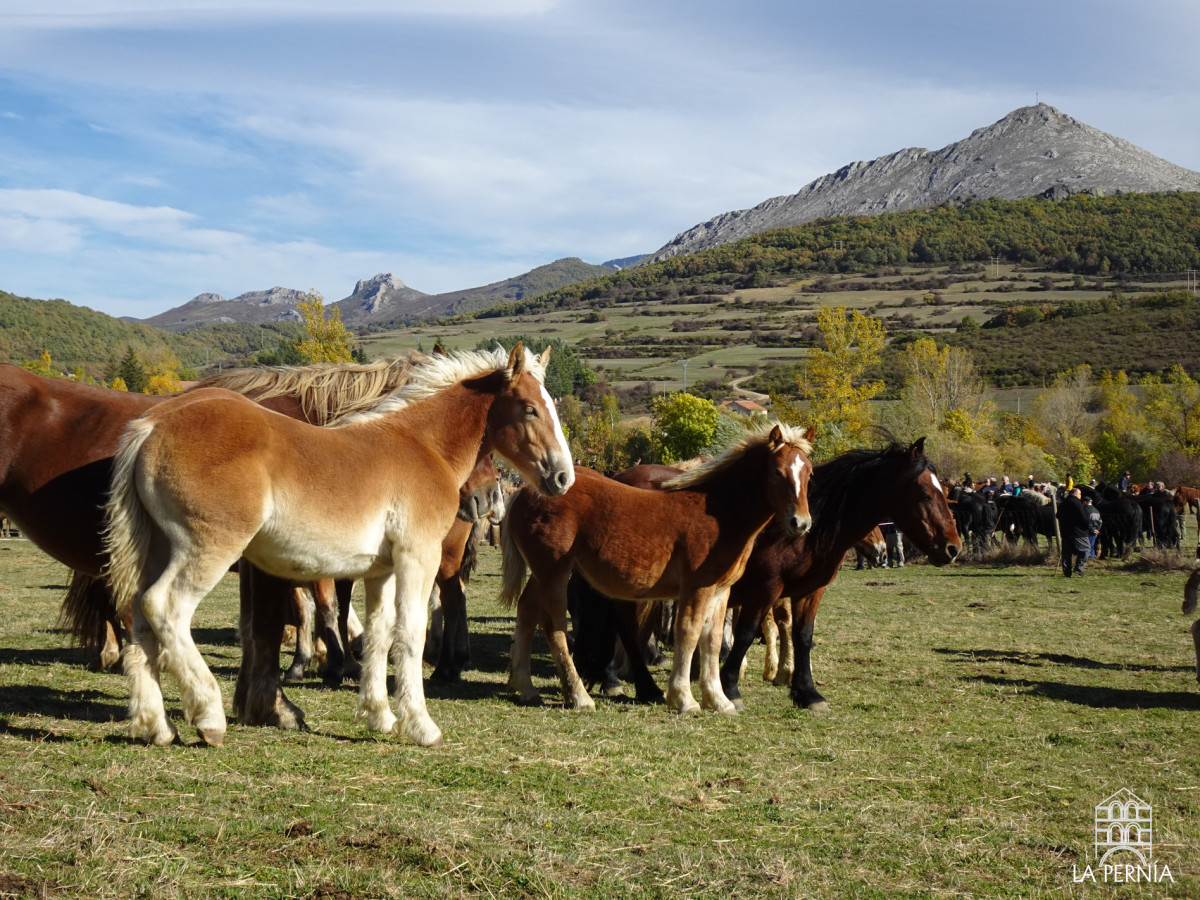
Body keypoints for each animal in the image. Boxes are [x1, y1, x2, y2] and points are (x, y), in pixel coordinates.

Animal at [103, 340, 571, 748]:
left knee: (140, 616)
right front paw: (421, 726)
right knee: (165, 608)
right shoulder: (417, 556)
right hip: (208, 549)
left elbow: (380, 634)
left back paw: (157, 726)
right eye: (530, 409)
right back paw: (209, 717)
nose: (563, 477)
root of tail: (150, 425)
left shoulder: (382, 569)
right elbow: (411, 633)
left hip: (157, 550)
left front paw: (379, 716)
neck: (422, 445)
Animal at [496, 424, 816, 720]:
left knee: (526, 612)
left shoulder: (720, 592)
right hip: (554, 572)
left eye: (809, 474)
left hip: (542, 574)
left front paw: (719, 700)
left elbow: (712, 641)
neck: (719, 515)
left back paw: (525, 687)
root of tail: (524, 491)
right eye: (777, 472)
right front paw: (684, 698)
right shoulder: (696, 588)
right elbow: (688, 634)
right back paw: (579, 696)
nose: (800, 523)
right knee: (553, 625)